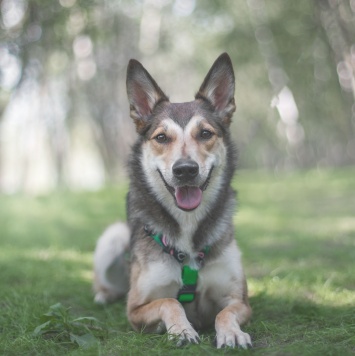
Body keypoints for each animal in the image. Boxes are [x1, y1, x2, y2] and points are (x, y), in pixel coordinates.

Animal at [93, 52, 252, 348]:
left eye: (205, 133)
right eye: (161, 137)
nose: (185, 170)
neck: (187, 225)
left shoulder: (240, 299)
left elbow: (225, 312)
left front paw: (232, 333)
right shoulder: (135, 310)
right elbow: (169, 301)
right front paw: (181, 329)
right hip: (112, 237)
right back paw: (103, 295)